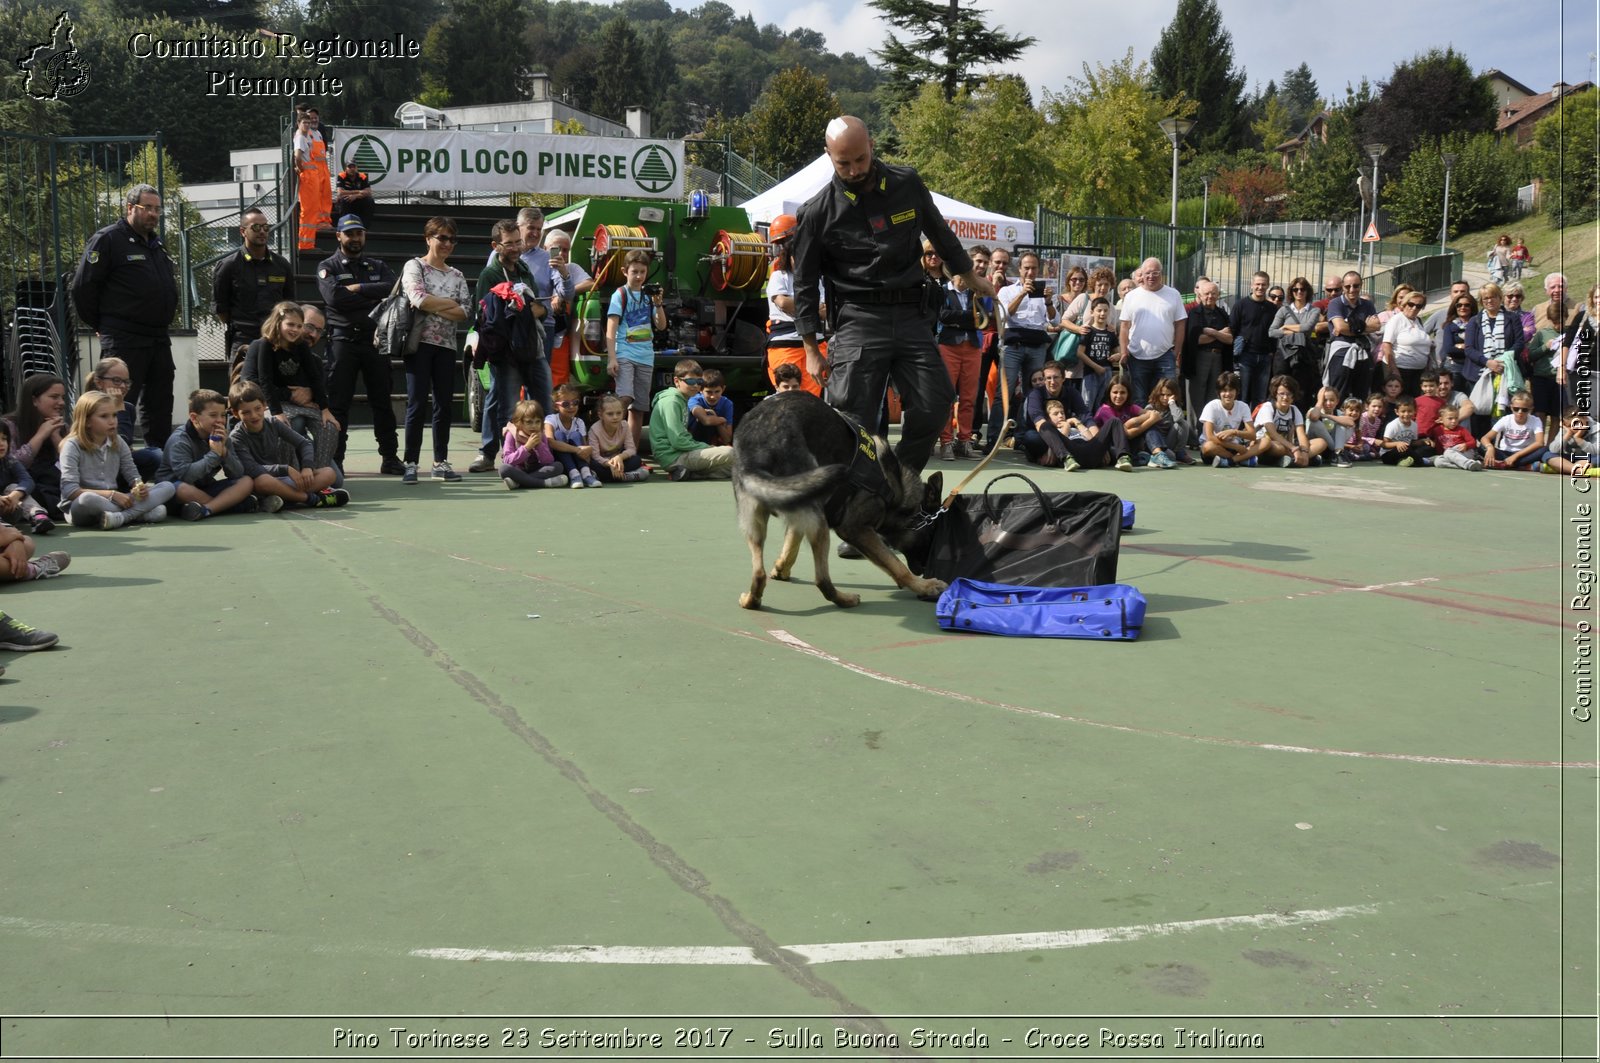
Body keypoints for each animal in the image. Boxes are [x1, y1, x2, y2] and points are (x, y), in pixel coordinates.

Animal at [732, 390, 940, 605]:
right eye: (932, 535)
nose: (923, 570)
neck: (896, 487)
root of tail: (758, 447)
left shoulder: (798, 513)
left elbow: (791, 543)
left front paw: (781, 569)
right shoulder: (855, 529)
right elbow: (895, 564)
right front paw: (923, 585)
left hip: (762, 520)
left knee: (759, 573)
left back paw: (751, 600)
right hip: (819, 522)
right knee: (821, 579)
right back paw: (845, 599)